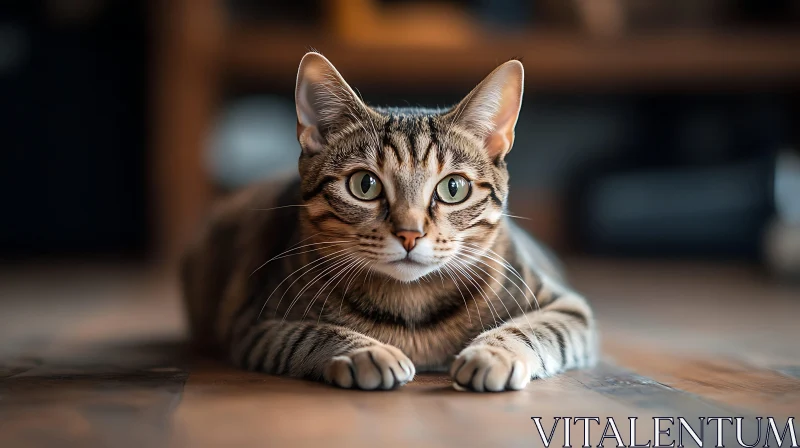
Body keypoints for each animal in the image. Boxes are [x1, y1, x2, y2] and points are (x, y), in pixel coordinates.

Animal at [180, 50, 592, 390]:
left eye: (453, 188)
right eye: (365, 184)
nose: (410, 234)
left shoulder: (567, 308)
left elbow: (533, 329)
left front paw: (492, 353)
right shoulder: (257, 325)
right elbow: (311, 334)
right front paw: (367, 351)